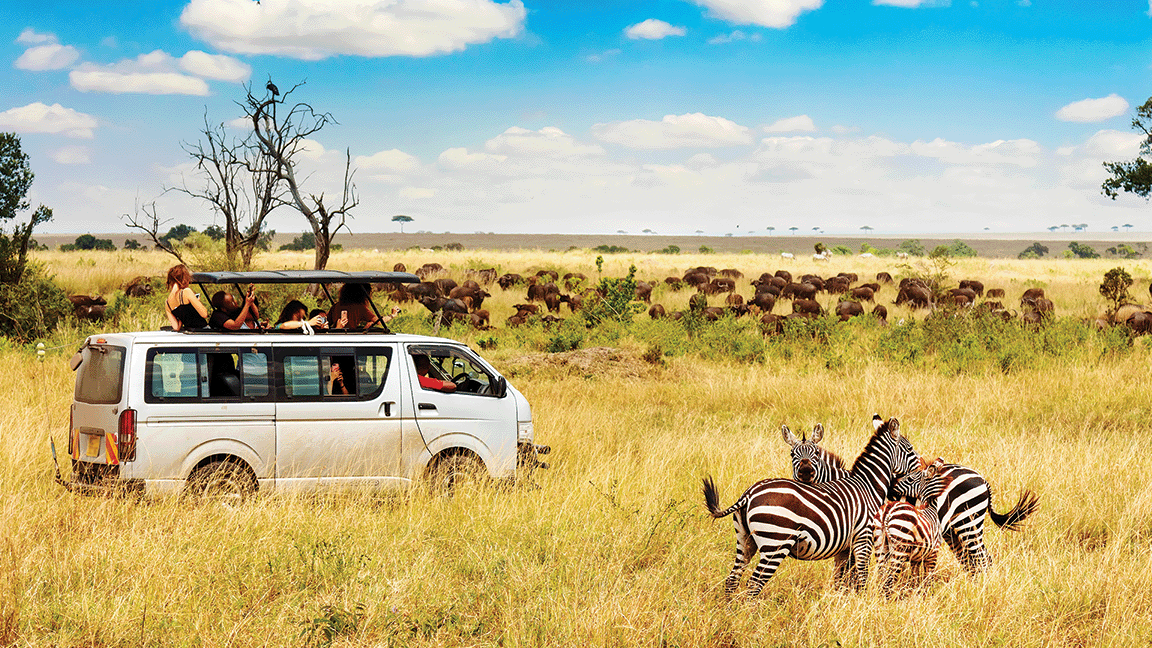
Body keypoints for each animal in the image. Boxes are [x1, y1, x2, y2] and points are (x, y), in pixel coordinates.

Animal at [700, 415, 907, 594]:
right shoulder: (862, 537)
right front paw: (858, 601)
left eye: (816, 453)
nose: (896, 494)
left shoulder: (846, 545)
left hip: (745, 539)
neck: (866, 484)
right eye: (910, 451)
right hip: (775, 543)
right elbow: (859, 576)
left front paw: (843, 600)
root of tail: (748, 494)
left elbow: (843, 579)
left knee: (733, 578)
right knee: (753, 584)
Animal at [870, 451, 953, 594]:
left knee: (882, 576)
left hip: (880, 543)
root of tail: (887, 510)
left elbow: (915, 578)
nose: (890, 487)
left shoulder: (916, 559)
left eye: (909, 479)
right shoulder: (933, 552)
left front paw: (915, 593)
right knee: (890, 579)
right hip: (900, 547)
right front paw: (929, 594)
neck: (931, 508)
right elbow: (929, 577)